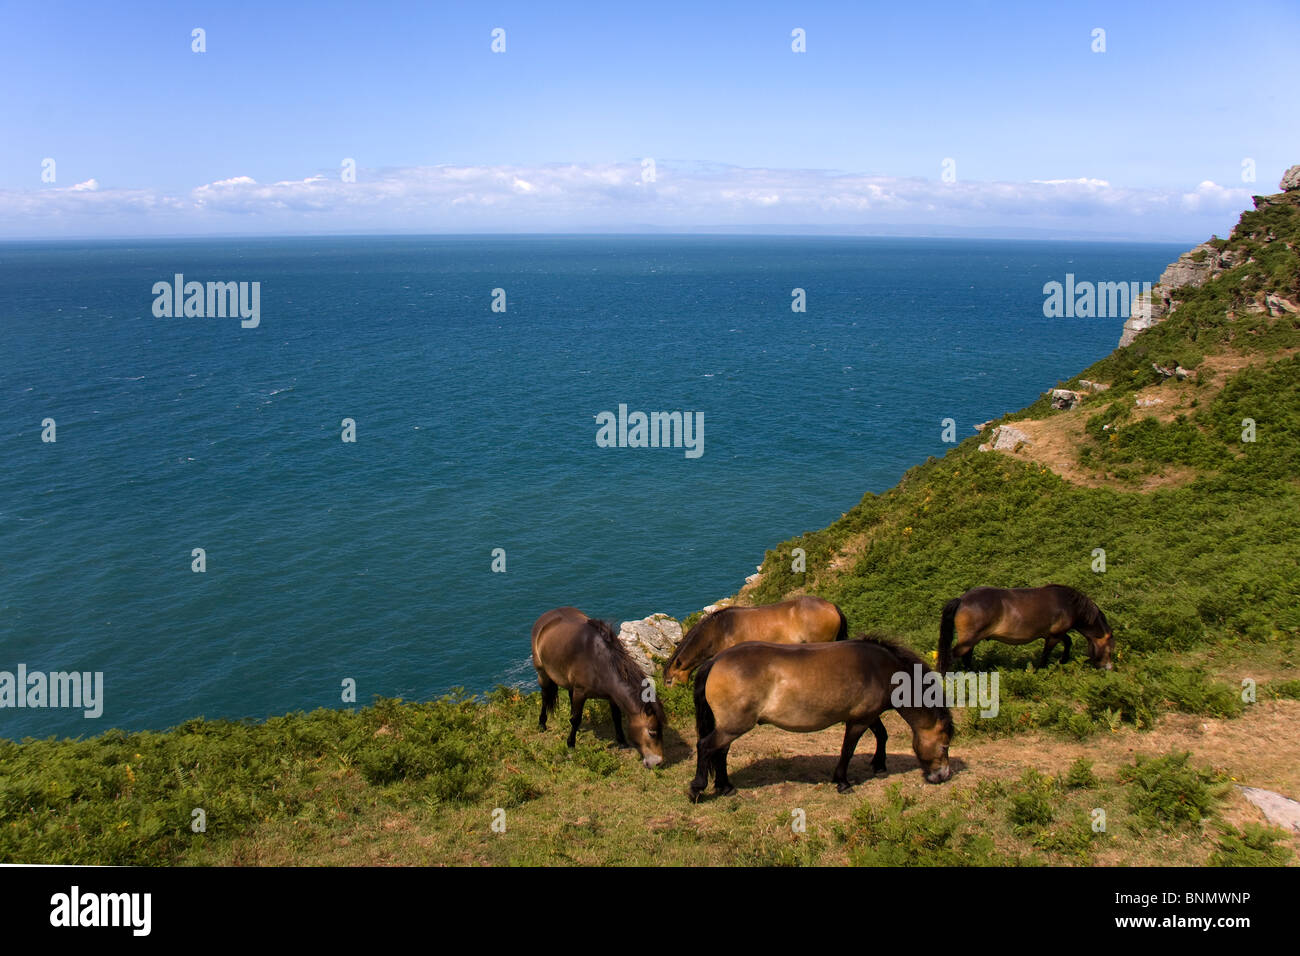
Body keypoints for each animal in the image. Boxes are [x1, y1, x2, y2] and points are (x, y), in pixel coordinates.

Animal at [530, 606, 670, 770]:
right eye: (652, 732)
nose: (658, 762)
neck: (600, 662)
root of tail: (546, 616)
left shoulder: (612, 696)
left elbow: (616, 717)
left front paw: (621, 741)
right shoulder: (581, 692)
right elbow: (576, 719)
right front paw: (570, 744)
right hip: (542, 672)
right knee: (545, 696)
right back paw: (542, 724)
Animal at [935, 582, 1118, 671]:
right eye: (1110, 649)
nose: (1109, 668)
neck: (1069, 604)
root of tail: (962, 599)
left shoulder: (1054, 633)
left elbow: (1068, 641)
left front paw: (1063, 660)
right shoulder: (1054, 636)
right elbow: (1046, 653)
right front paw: (1039, 670)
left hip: (971, 640)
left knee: (966, 658)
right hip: (968, 641)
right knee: (950, 657)